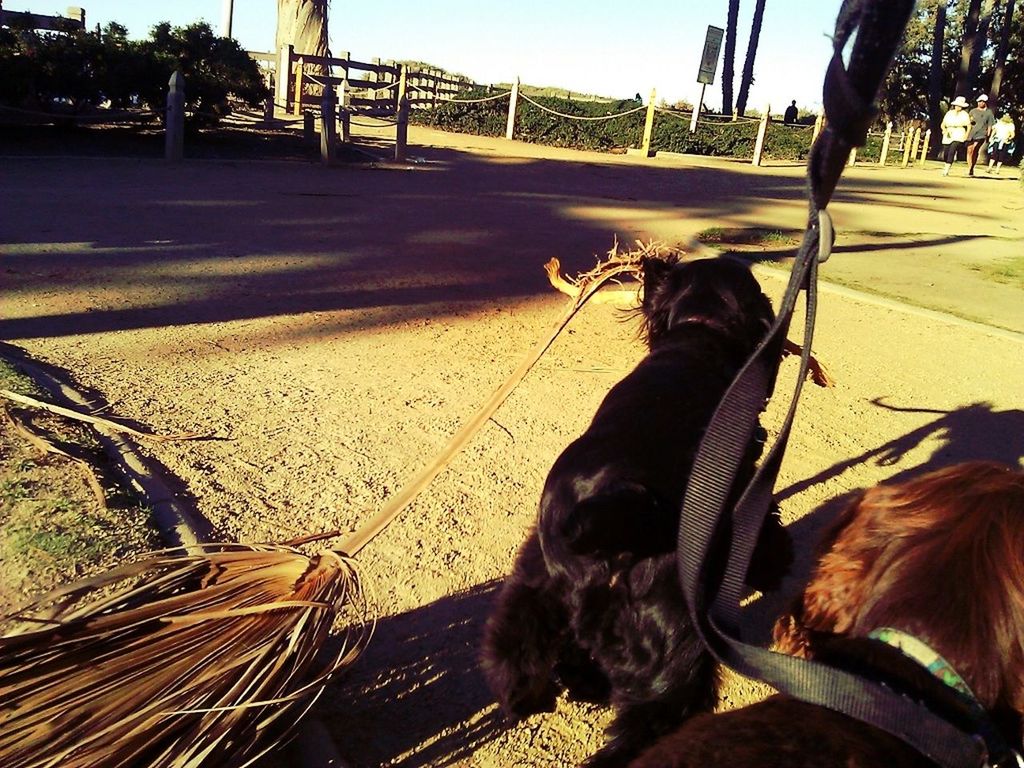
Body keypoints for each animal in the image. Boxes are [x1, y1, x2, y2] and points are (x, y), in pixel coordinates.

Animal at [479, 256, 790, 765]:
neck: (698, 333)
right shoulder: (742, 482)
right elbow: (765, 530)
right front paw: (775, 564)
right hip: (676, 648)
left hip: (536, 586)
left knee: (521, 653)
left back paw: (551, 693)